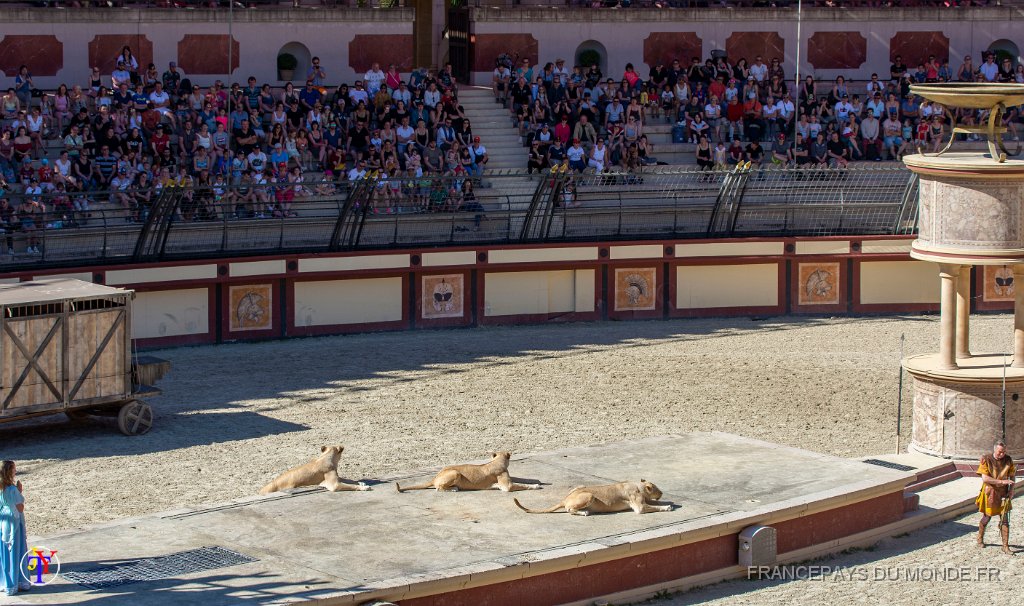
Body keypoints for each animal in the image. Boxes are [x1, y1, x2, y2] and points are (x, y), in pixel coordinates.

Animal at [391, 450, 540, 491]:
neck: (496, 461)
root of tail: (434, 477)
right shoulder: (506, 486)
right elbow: (522, 485)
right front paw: (536, 486)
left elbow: (521, 479)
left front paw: (536, 481)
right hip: (455, 473)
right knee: (438, 488)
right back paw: (454, 489)